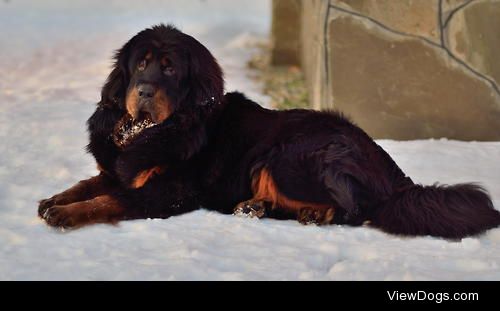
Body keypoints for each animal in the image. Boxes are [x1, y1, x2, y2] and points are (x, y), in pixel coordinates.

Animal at [38, 25, 500, 239]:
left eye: (169, 69)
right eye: (140, 64)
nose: (145, 91)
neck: (153, 130)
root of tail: (393, 172)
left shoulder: (170, 190)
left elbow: (109, 199)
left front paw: (67, 214)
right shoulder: (119, 168)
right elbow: (89, 183)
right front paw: (54, 199)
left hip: (287, 153)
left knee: (355, 209)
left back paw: (312, 213)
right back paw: (257, 207)